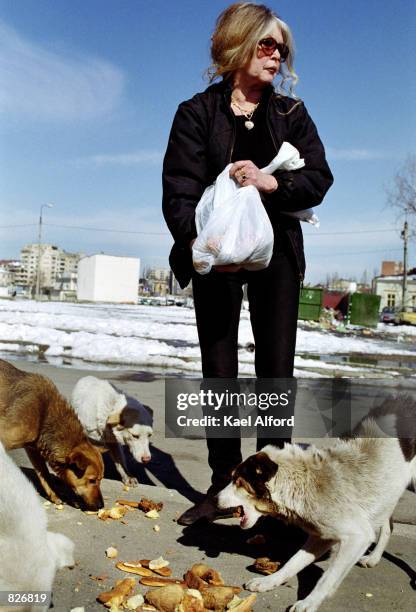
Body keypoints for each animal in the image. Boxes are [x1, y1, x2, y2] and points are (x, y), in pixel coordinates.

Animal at [0, 358, 104, 512]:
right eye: (92, 480)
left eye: (101, 479)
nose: (101, 505)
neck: (45, 415)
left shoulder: (33, 449)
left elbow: (45, 475)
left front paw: (54, 495)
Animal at [218, 396, 416, 612]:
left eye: (238, 482)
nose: (215, 499)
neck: (305, 481)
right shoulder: (321, 536)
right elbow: (293, 562)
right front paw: (269, 581)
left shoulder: (357, 537)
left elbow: (328, 577)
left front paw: (309, 602)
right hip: (387, 494)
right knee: (388, 525)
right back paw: (374, 558)